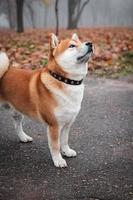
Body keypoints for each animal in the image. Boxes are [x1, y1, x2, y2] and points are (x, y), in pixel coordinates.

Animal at [0, 33, 92, 167]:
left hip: (17, 112)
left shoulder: (67, 124)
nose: (90, 43)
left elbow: (64, 141)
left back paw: (24, 137)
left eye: (80, 42)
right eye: (72, 46)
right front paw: (58, 160)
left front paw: (66, 151)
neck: (64, 80)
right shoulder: (54, 125)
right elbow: (55, 145)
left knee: (17, 126)